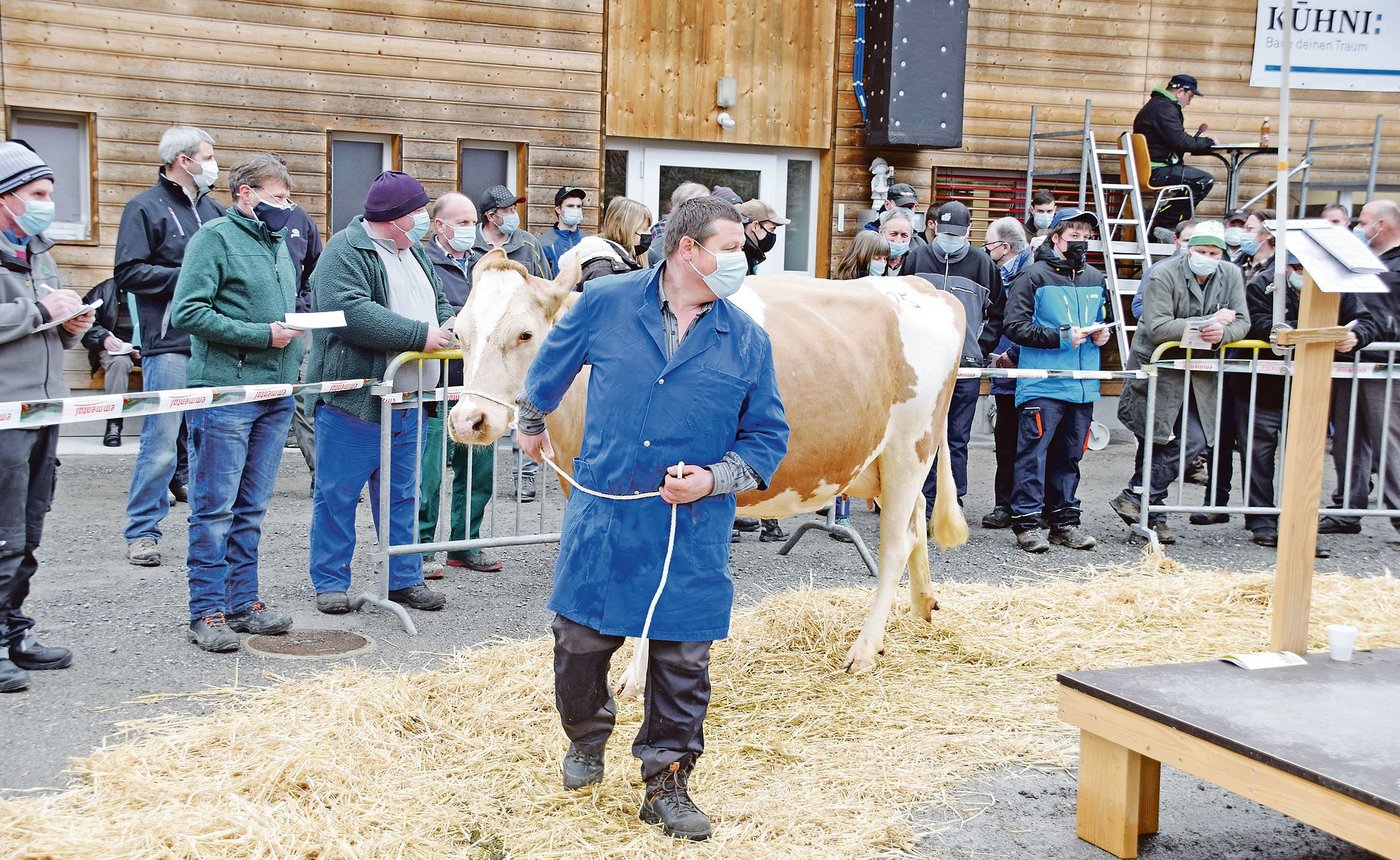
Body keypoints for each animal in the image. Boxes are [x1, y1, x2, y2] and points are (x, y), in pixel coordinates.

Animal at [447, 249, 968, 673]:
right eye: (459, 332)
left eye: (525, 334)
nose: (467, 420)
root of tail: (929, 290)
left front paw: (636, 677)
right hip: (890, 462)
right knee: (916, 525)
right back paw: (921, 608)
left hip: (909, 447)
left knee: (896, 544)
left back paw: (863, 650)